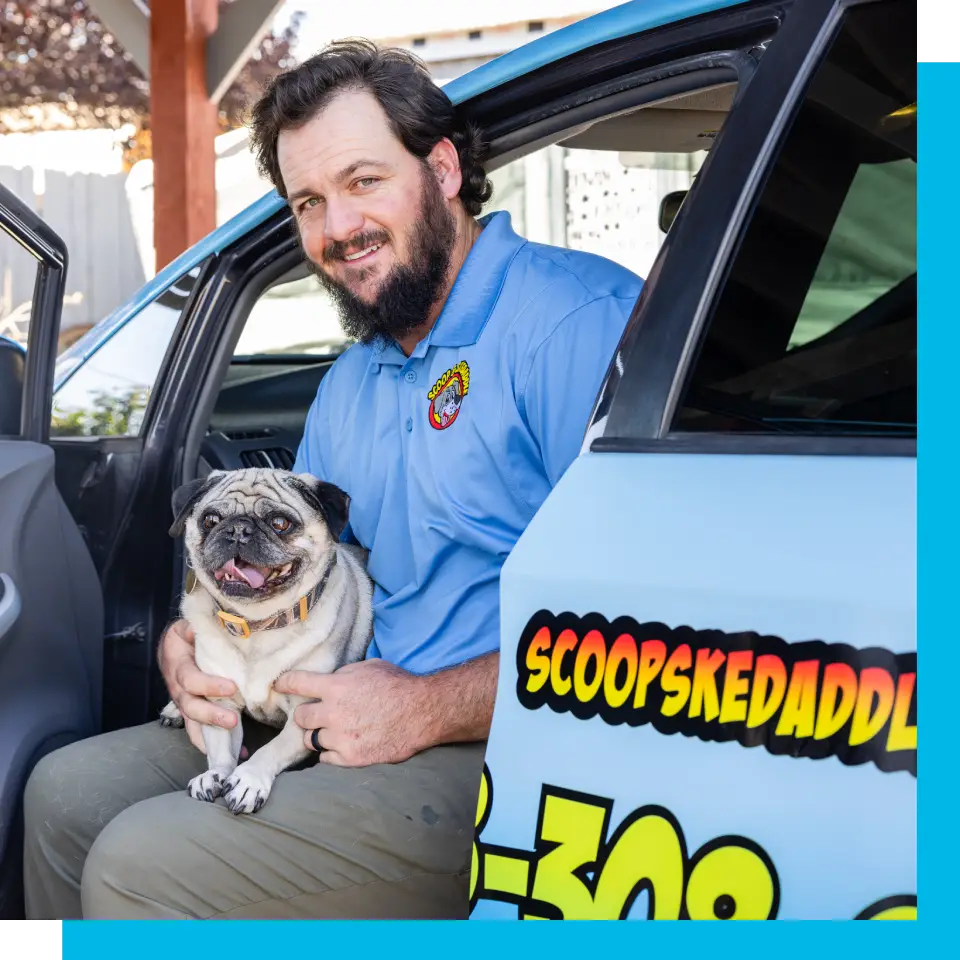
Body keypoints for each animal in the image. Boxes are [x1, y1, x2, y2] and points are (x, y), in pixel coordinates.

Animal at [159, 468, 374, 812]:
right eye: (210, 519)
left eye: (280, 523)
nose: (237, 529)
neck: (256, 625)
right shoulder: (220, 706)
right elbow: (221, 751)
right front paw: (213, 775)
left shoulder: (305, 716)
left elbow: (270, 750)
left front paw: (248, 779)